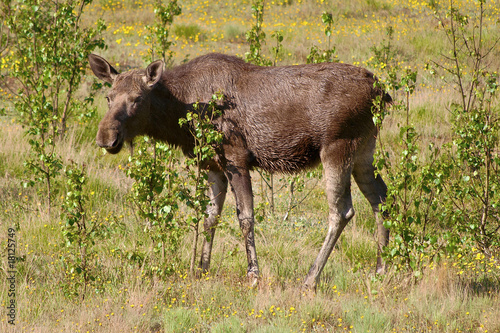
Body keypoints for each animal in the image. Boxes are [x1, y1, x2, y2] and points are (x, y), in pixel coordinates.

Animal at [90, 52, 390, 288]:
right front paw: (202, 269)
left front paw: (253, 275)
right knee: (381, 197)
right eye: (108, 97)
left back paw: (310, 279)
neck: (180, 115)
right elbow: (210, 217)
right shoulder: (212, 164)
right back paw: (381, 268)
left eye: (137, 98)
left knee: (341, 211)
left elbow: (245, 217)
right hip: (364, 151)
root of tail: (381, 92)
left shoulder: (236, 157)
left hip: (338, 147)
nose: (106, 138)